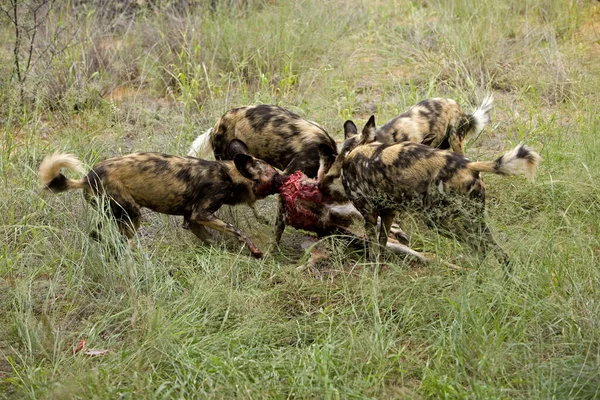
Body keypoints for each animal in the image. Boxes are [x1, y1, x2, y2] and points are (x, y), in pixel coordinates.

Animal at [39, 140, 284, 260]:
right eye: (275, 176)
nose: (287, 177)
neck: (230, 175)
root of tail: (87, 177)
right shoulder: (202, 214)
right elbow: (237, 231)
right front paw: (254, 251)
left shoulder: (192, 220)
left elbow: (212, 240)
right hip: (132, 216)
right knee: (117, 240)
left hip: (115, 215)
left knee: (97, 233)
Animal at [322, 117, 540, 264]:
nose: (323, 184)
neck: (354, 151)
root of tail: (469, 165)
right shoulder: (389, 212)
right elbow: (382, 243)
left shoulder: (369, 213)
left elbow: (374, 247)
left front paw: (372, 269)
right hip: (473, 219)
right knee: (496, 251)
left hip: (437, 220)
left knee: (478, 246)